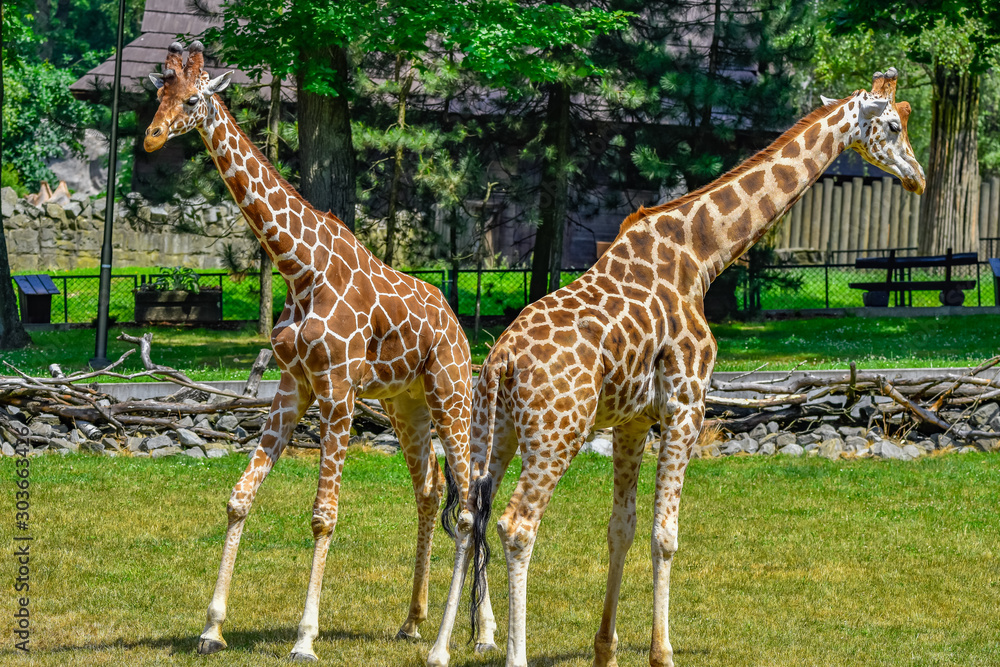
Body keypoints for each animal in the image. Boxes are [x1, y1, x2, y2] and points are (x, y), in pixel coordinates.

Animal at [143, 41, 476, 662]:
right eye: (160, 93)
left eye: (194, 99)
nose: (152, 137)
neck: (299, 268)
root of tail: (457, 326)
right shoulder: (291, 386)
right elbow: (239, 498)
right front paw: (211, 629)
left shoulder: (338, 392)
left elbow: (324, 517)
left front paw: (304, 638)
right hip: (406, 405)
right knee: (430, 492)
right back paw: (412, 622)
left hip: (452, 395)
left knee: (468, 507)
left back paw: (465, 637)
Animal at [426, 67, 925, 667]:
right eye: (894, 125)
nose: (918, 178)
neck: (702, 256)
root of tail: (501, 359)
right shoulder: (687, 405)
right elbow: (665, 533)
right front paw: (662, 651)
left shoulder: (632, 421)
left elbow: (621, 527)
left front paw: (606, 648)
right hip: (557, 431)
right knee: (517, 524)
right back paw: (514, 652)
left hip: (490, 430)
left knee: (469, 515)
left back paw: (440, 650)